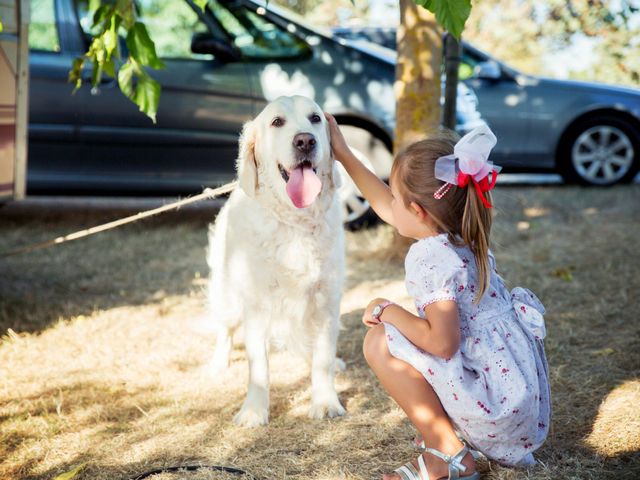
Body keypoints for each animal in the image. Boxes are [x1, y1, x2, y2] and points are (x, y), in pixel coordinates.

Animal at [206, 95, 344, 426]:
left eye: (315, 118)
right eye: (277, 122)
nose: (305, 140)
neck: (295, 222)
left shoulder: (326, 299)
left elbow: (322, 357)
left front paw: (325, 401)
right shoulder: (255, 305)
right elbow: (258, 366)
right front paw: (254, 410)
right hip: (227, 295)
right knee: (225, 329)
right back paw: (218, 364)